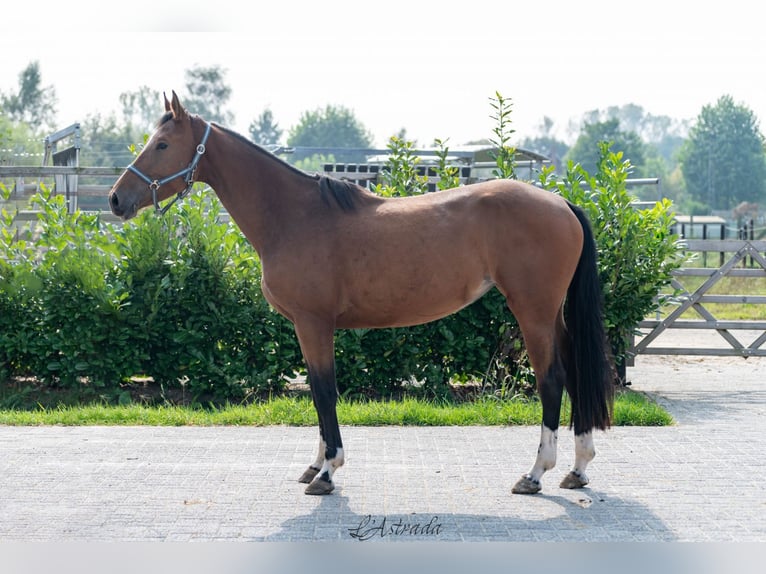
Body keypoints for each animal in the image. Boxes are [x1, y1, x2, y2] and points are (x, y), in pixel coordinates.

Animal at [108, 92, 616, 498]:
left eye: (162, 144)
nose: (116, 200)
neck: (294, 216)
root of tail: (561, 203)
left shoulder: (314, 323)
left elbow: (324, 390)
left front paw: (328, 472)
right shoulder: (307, 327)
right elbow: (318, 394)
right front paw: (315, 463)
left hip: (532, 311)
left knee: (551, 380)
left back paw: (535, 474)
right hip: (551, 315)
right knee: (574, 372)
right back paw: (577, 469)